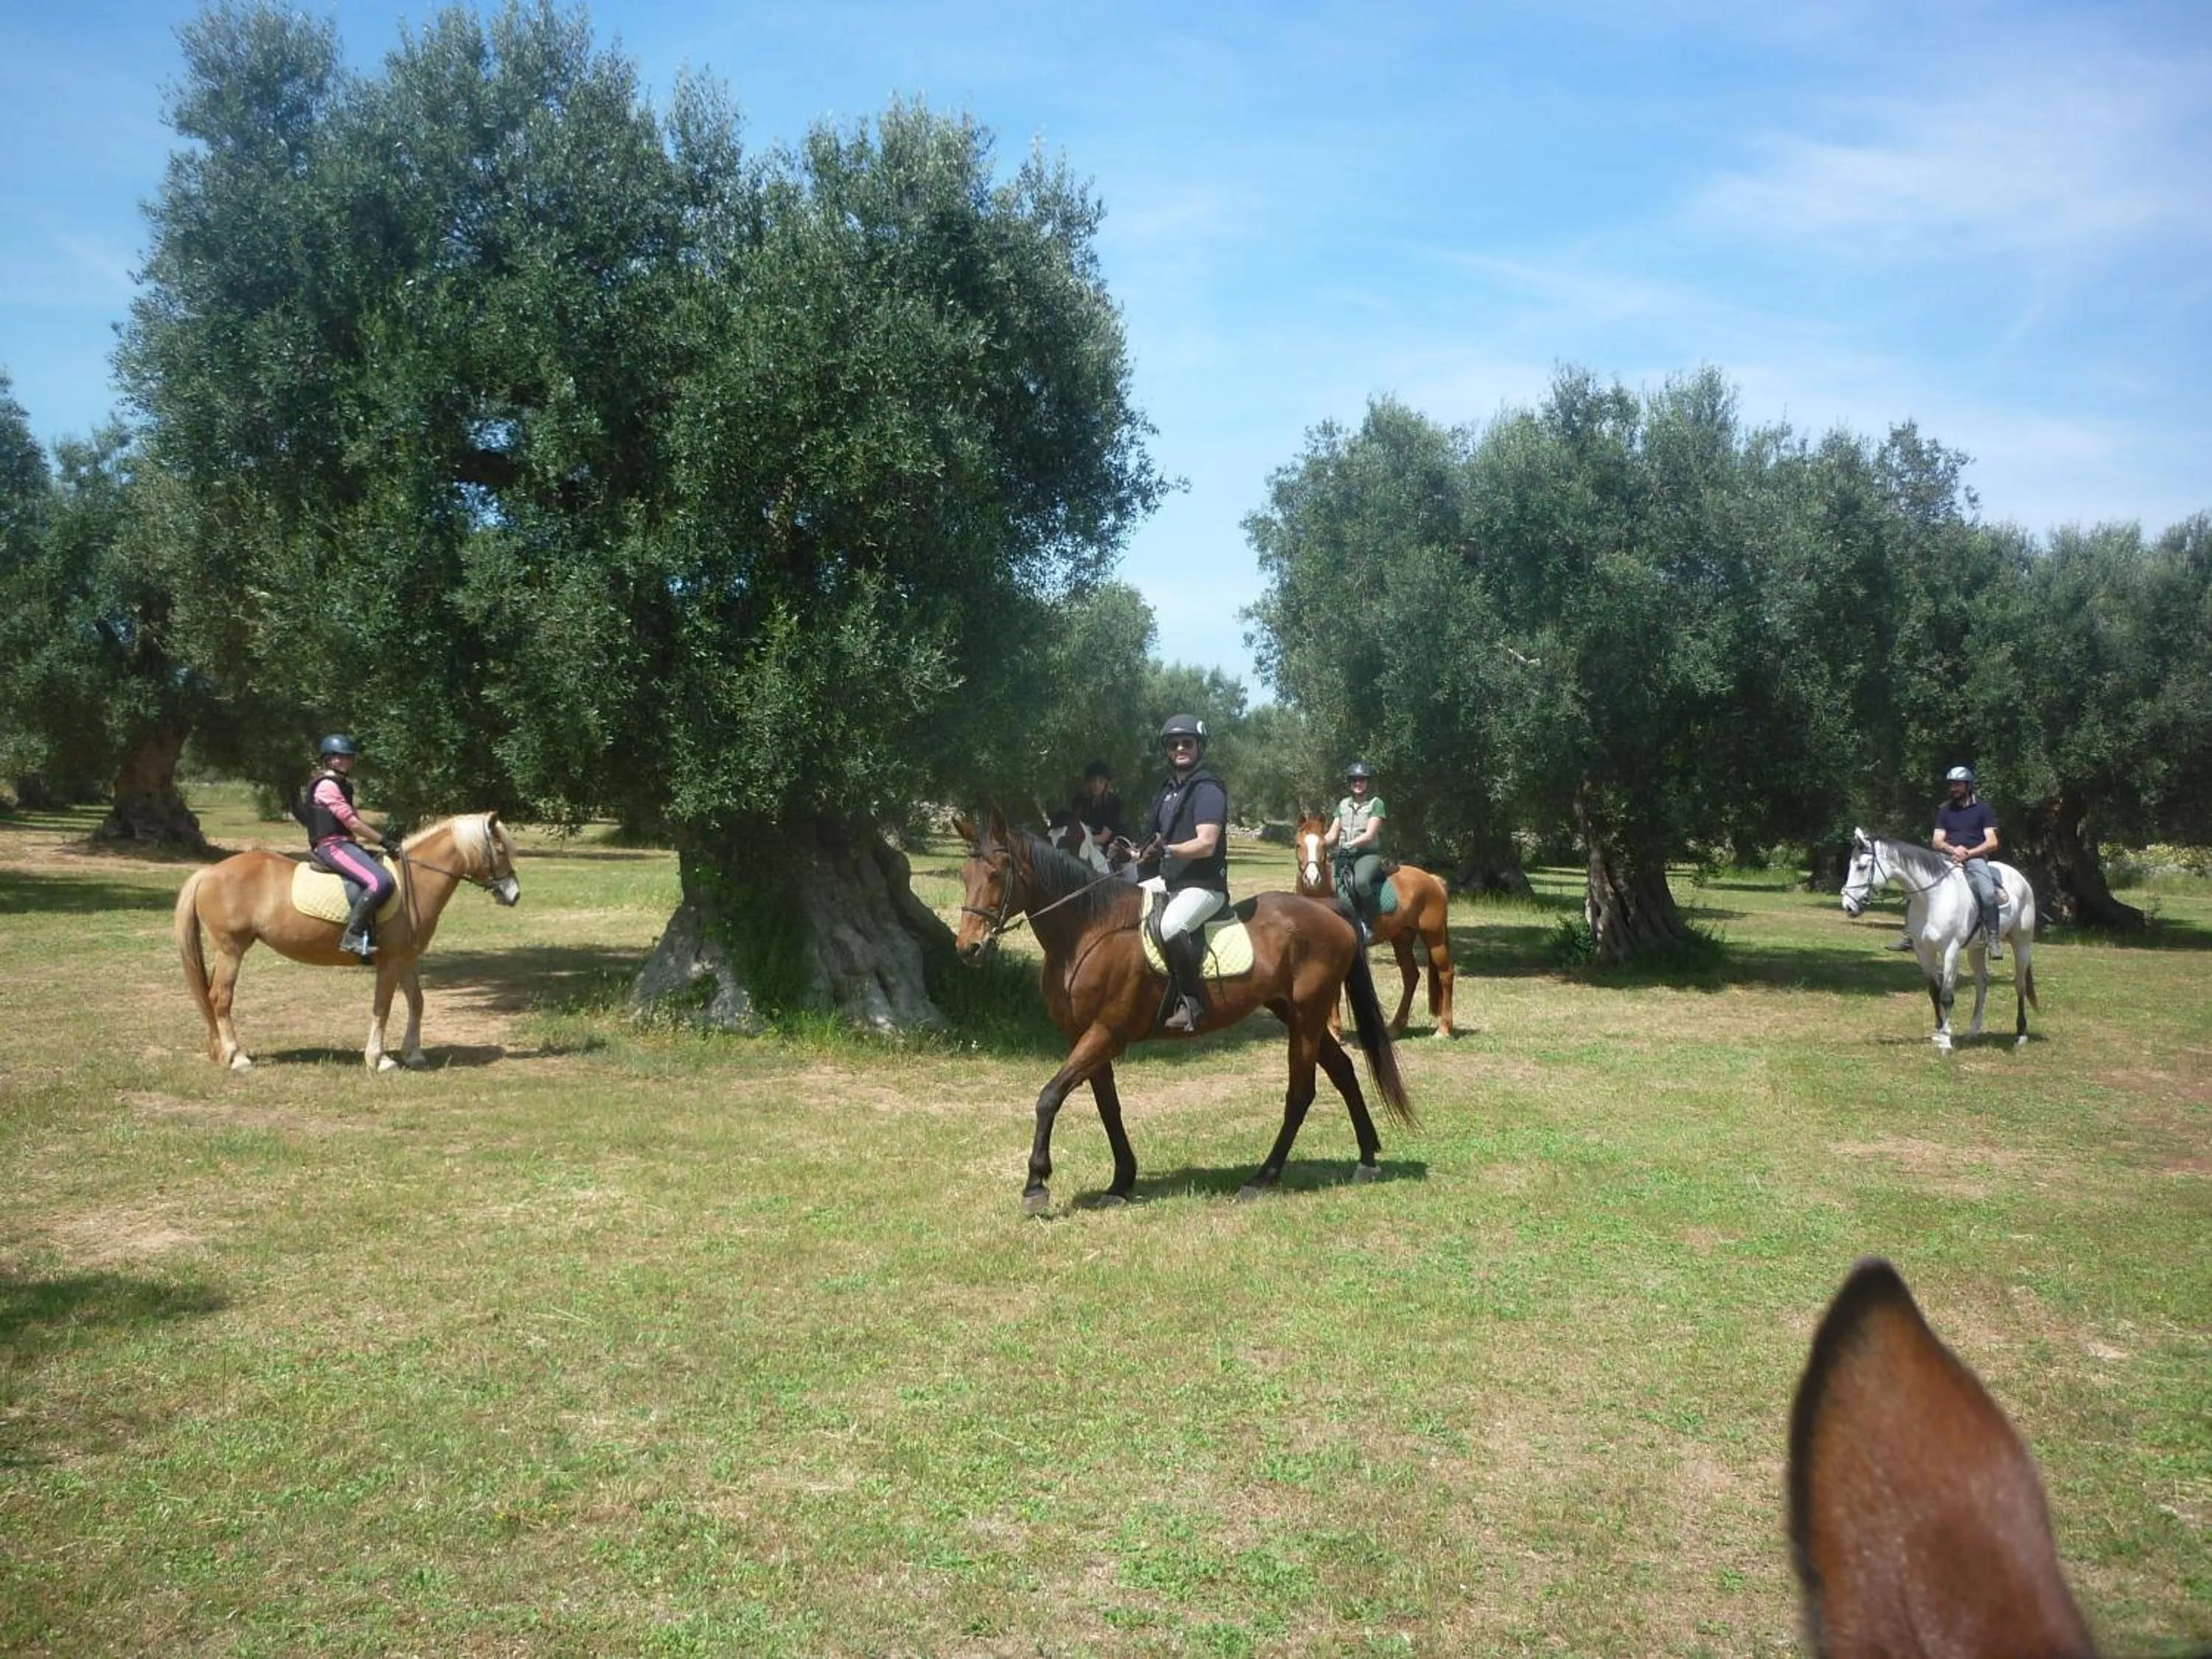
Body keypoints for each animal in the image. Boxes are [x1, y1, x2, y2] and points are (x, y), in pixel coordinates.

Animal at [174, 813, 521, 1073]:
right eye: (500, 849)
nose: (514, 894)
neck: (415, 882)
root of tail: (209, 873)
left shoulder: (406, 959)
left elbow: (417, 1001)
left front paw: (413, 1054)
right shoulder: (390, 962)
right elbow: (383, 1006)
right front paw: (379, 1059)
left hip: (224, 952)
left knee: (211, 996)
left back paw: (222, 1052)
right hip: (231, 950)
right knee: (221, 998)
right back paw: (237, 1057)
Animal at [952, 807, 1413, 1214]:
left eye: (996, 875)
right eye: (964, 876)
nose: (968, 948)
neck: (1090, 930)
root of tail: (1327, 910)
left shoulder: (1105, 1033)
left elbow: (1049, 1097)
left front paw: (1036, 1184)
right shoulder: (1085, 1036)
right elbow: (1108, 1107)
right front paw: (1121, 1183)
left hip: (1306, 1016)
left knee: (1301, 1092)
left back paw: (1263, 1178)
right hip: (1298, 1014)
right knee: (1343, 1072)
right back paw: (1366, 1159)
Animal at [1293, 814, 1457, 1038]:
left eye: (1323, 846)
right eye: (1298, 845)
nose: (1312, 878)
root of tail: (1433, 880)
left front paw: (1334, 1030)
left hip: (1434, 937)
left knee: (1446, 974)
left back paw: (1443, 1029)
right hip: (1402, 938)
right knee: (1411, 975)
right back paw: (1395, 1026)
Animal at [1840, 829, 2037, 1051]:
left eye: (1862, 867)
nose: (1848, 906)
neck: (1932, 898)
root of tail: (2021, 879)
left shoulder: (1950, 951)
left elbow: (1947, 996)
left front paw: (1945, 1040)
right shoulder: (1924, 952)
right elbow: (1934, 992)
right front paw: (1939, 1033)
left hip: (2021, 943)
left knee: (2019, 985)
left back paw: (2021, 1035)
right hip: (1976, 949)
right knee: (1982, 983)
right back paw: (1973, 1031)